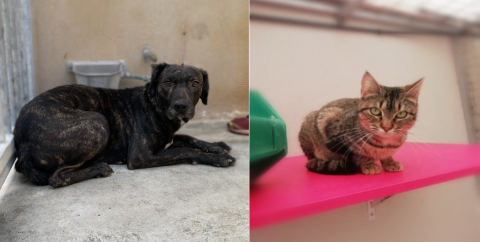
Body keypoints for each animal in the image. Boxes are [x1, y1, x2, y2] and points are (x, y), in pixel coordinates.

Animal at [12, 63, 234, 188]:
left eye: (195, 83)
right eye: (168, 82)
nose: (180, 106)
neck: (155, 104)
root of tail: (21, 139)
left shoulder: (169, 138)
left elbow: (187, 138)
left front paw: (217, 145)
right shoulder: (141, 156)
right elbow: (186, 150)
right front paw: (216, 158)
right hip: (98, 122)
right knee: (57, 178)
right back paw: (98, 168)